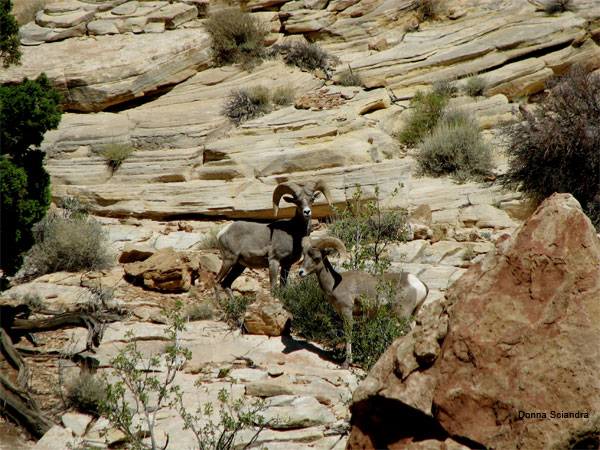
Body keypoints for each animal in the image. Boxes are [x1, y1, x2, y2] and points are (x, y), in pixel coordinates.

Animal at [298, 236, 428, 370]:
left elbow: (348, 334)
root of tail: (419, 284)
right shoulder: (361, 317)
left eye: (317, 258)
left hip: (403, 317)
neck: (336, 284)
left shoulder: (347, 311)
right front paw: (365, 360)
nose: (300, 272)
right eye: (304, 256)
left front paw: (346, 363)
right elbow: (363, 335)